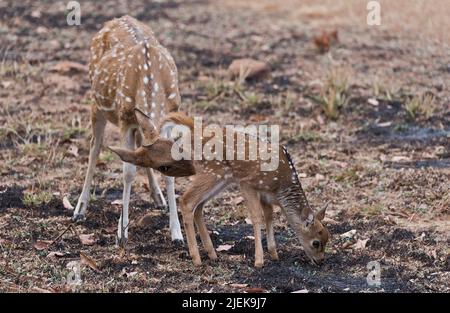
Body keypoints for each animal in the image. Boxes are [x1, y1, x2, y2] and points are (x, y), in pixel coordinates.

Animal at [72, 15, 195, 244]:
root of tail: (117, 19)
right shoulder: (125, 120)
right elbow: (127, 172)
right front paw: (122, 232)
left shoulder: (168, 116)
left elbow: (167, 177)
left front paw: (177, 234)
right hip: (96, 102)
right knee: (94, 147)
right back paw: (79, 209)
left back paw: (159, 199)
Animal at [111, 111, 330, 266]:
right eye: (316, 242)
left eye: (327, 239)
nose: (320, 261)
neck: (281, 187)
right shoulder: (247, 183)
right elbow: (256, 216)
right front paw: (259, 261)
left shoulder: (265, 195)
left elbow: (269, 217)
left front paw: (274, 254)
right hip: (213, 174)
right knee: (186, 200)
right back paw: (197, 258)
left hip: (219, 179)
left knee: (197, 206)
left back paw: (212, 254)